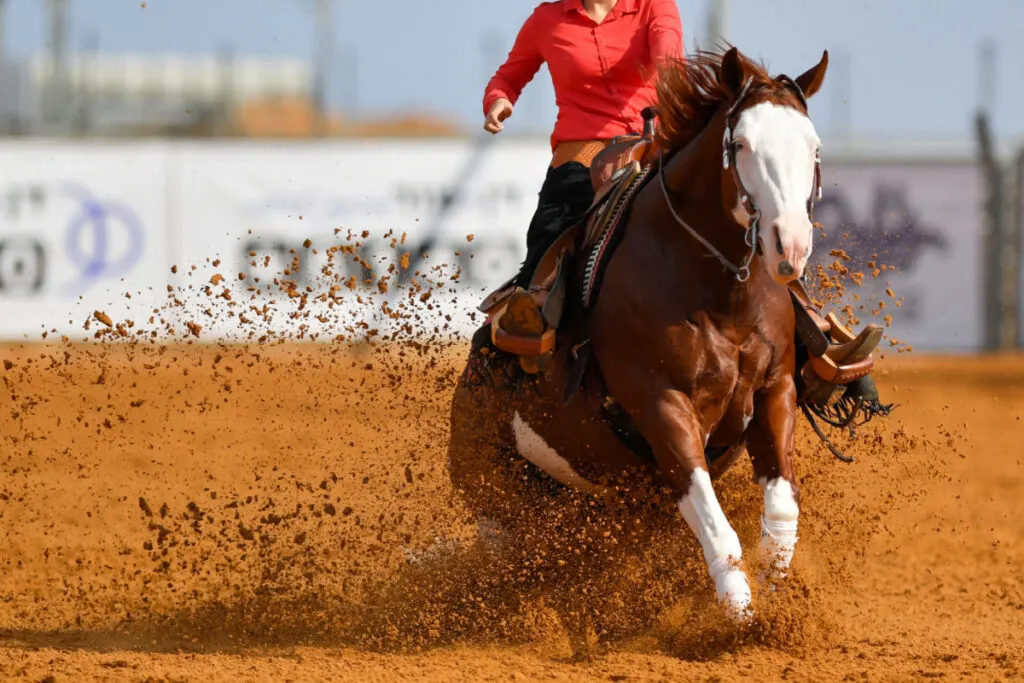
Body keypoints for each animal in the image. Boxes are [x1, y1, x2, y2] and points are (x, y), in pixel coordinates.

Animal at [448, 45, 864, 655]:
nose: (790, 246)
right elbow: (717, 526)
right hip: (501, 497)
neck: (717, 292)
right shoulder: (661, 404)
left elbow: (782, 510)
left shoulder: (775, 390)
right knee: (529, 563)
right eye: (741, 145)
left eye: (812, 147)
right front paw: (739, 617)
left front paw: (777, 606)